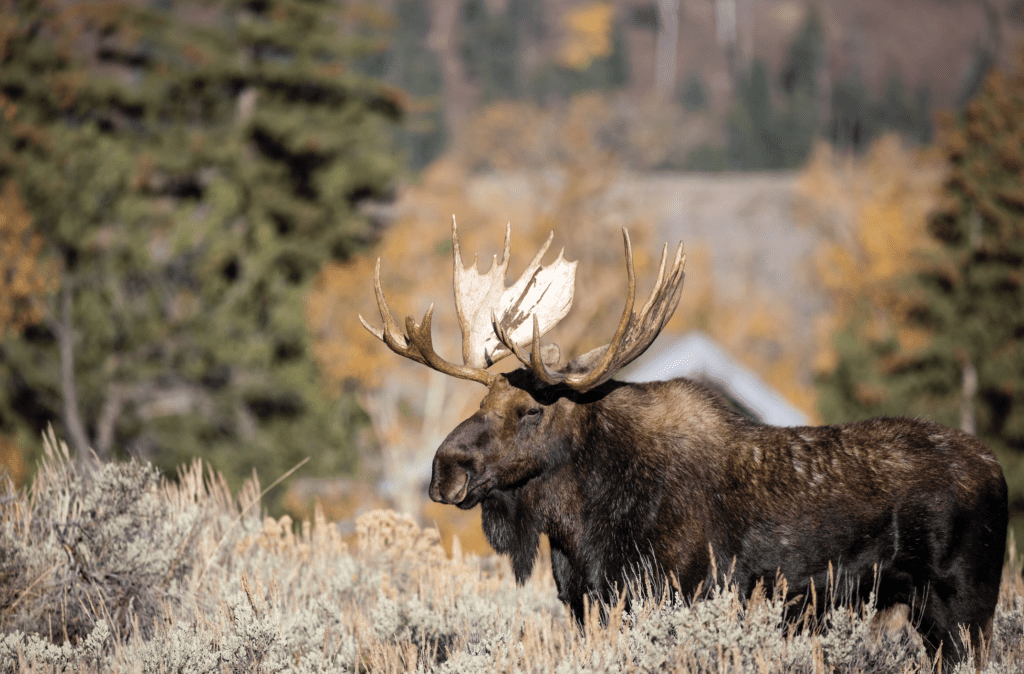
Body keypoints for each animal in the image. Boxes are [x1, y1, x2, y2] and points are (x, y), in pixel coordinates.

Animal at [360, 221, 1008, 667]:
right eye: (479, 405)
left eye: (529, 412)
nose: (445, 469)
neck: (580, 527)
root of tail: (998, 471)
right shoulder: (586, 603)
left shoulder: (681, 592)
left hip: (965, 604)